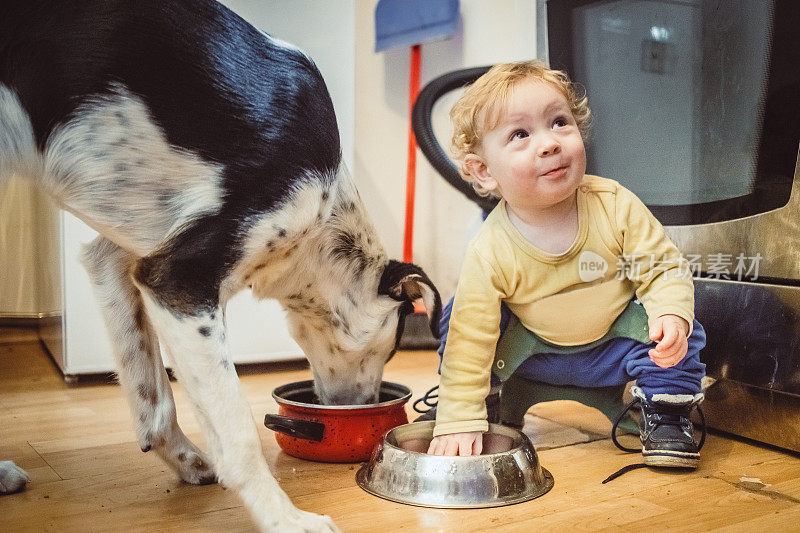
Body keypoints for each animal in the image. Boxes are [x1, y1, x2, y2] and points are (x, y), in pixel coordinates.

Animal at [0, 2, 444, 528]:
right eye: (391, 350)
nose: (371, 408)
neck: (322, 217)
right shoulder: (178, 284)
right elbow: (238, 435)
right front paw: (284, 519)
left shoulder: (119, 263)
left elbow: (152, 399)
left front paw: (184, 460)